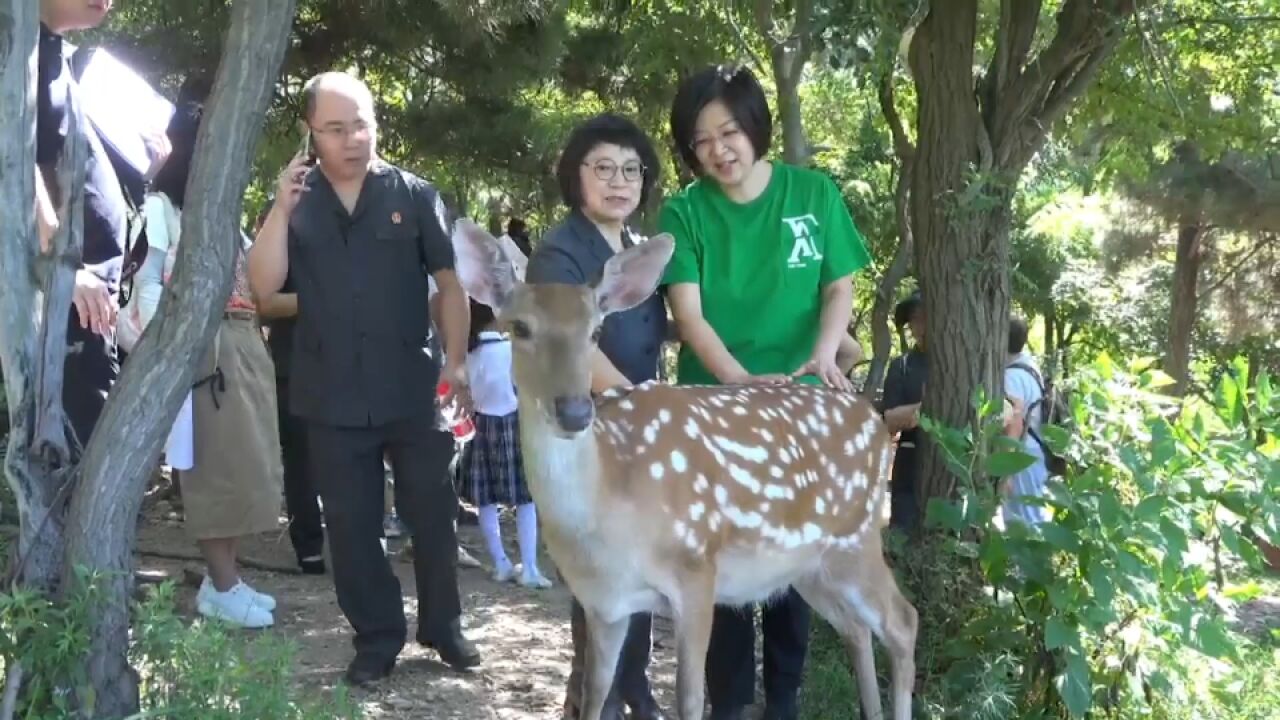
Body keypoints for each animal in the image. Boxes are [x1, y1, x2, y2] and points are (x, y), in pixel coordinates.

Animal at [455, 220, 916, 717]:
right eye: (519, 327)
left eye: (595, 332)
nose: (575, 412)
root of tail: (878, 419)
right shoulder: (604, 602)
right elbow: (594, 693)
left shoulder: (697, 568)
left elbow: (690, 697)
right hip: (809, 567)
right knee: (857, 629)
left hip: (857, 537)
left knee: (903, 621)